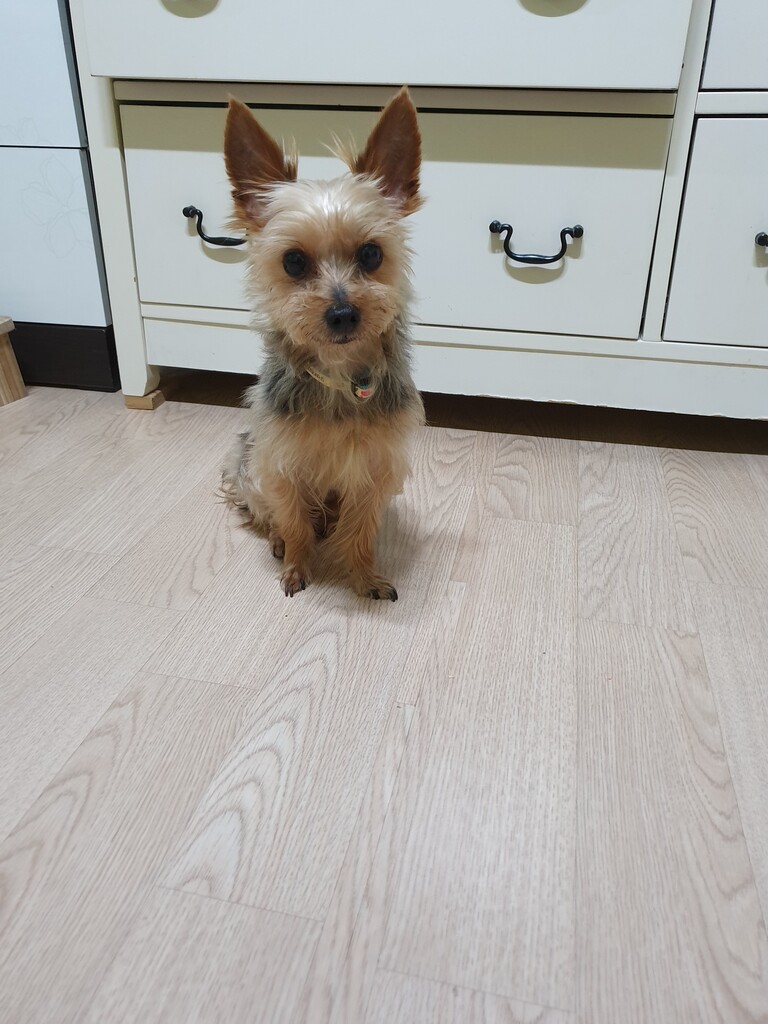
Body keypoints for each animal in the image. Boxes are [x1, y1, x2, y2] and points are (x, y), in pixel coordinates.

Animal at [220, 88, 425, 600]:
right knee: (272, 513)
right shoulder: (280, 465)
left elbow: (360, 529)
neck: (338, 371)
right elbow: (294, 520)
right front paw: (297, 564)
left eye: (371, 254)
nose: (342, 314)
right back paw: (278, 540)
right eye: (293, 261)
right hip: (249, 468)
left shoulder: (376, 469)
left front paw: (364, 575)